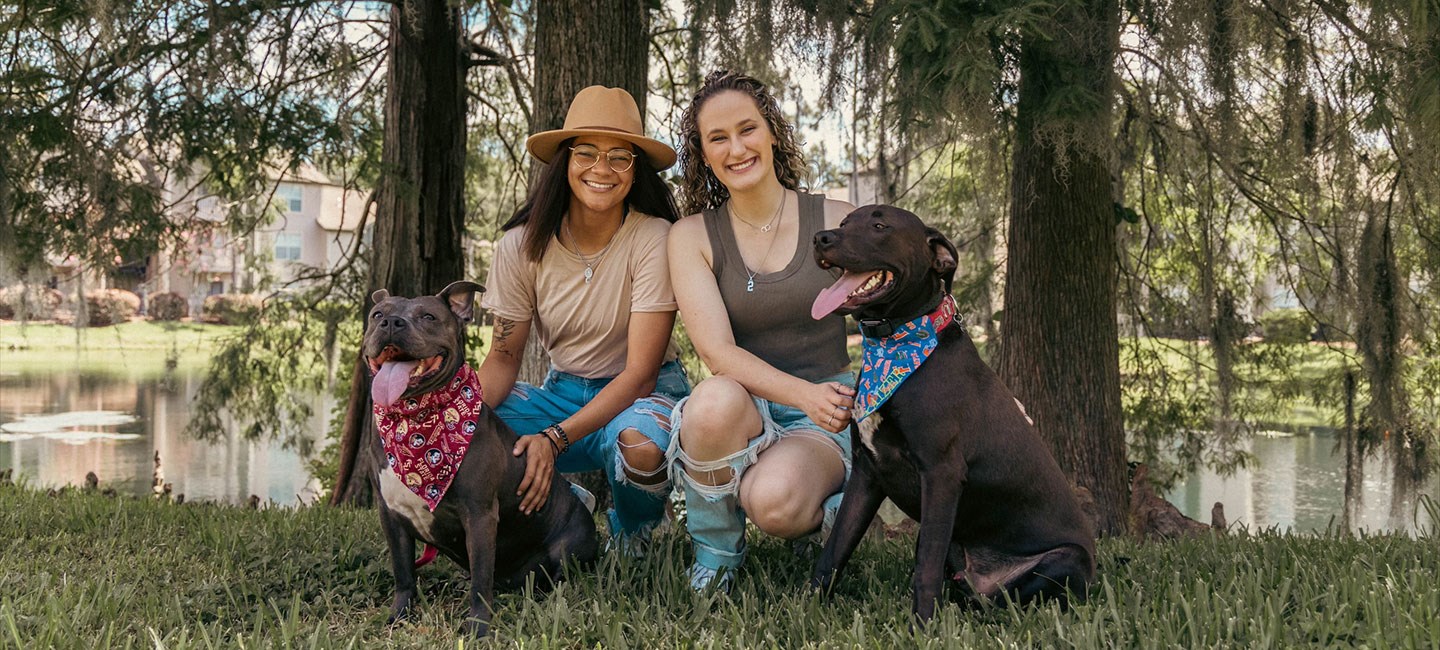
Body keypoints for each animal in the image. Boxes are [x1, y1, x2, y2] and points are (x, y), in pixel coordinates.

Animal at [371, 282, 601, 639]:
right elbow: (403, 573)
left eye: (428, 316)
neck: (414, 420)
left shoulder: (479, 515)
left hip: (567, 548)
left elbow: (481, 580)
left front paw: (478, 627)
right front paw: (398, 615)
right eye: (377, 314)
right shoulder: (391, 515)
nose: (391, 323)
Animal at [812, 208, 1088, 625]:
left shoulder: (941, 473)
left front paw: (922, 625)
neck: (895, 349)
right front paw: (806, 605)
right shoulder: (867, 472)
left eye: (880, 226)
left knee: (1004, 600)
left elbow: (925, 562)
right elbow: (835, 548)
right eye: (844, 223)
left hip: (1068, 558)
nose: (820, 238)